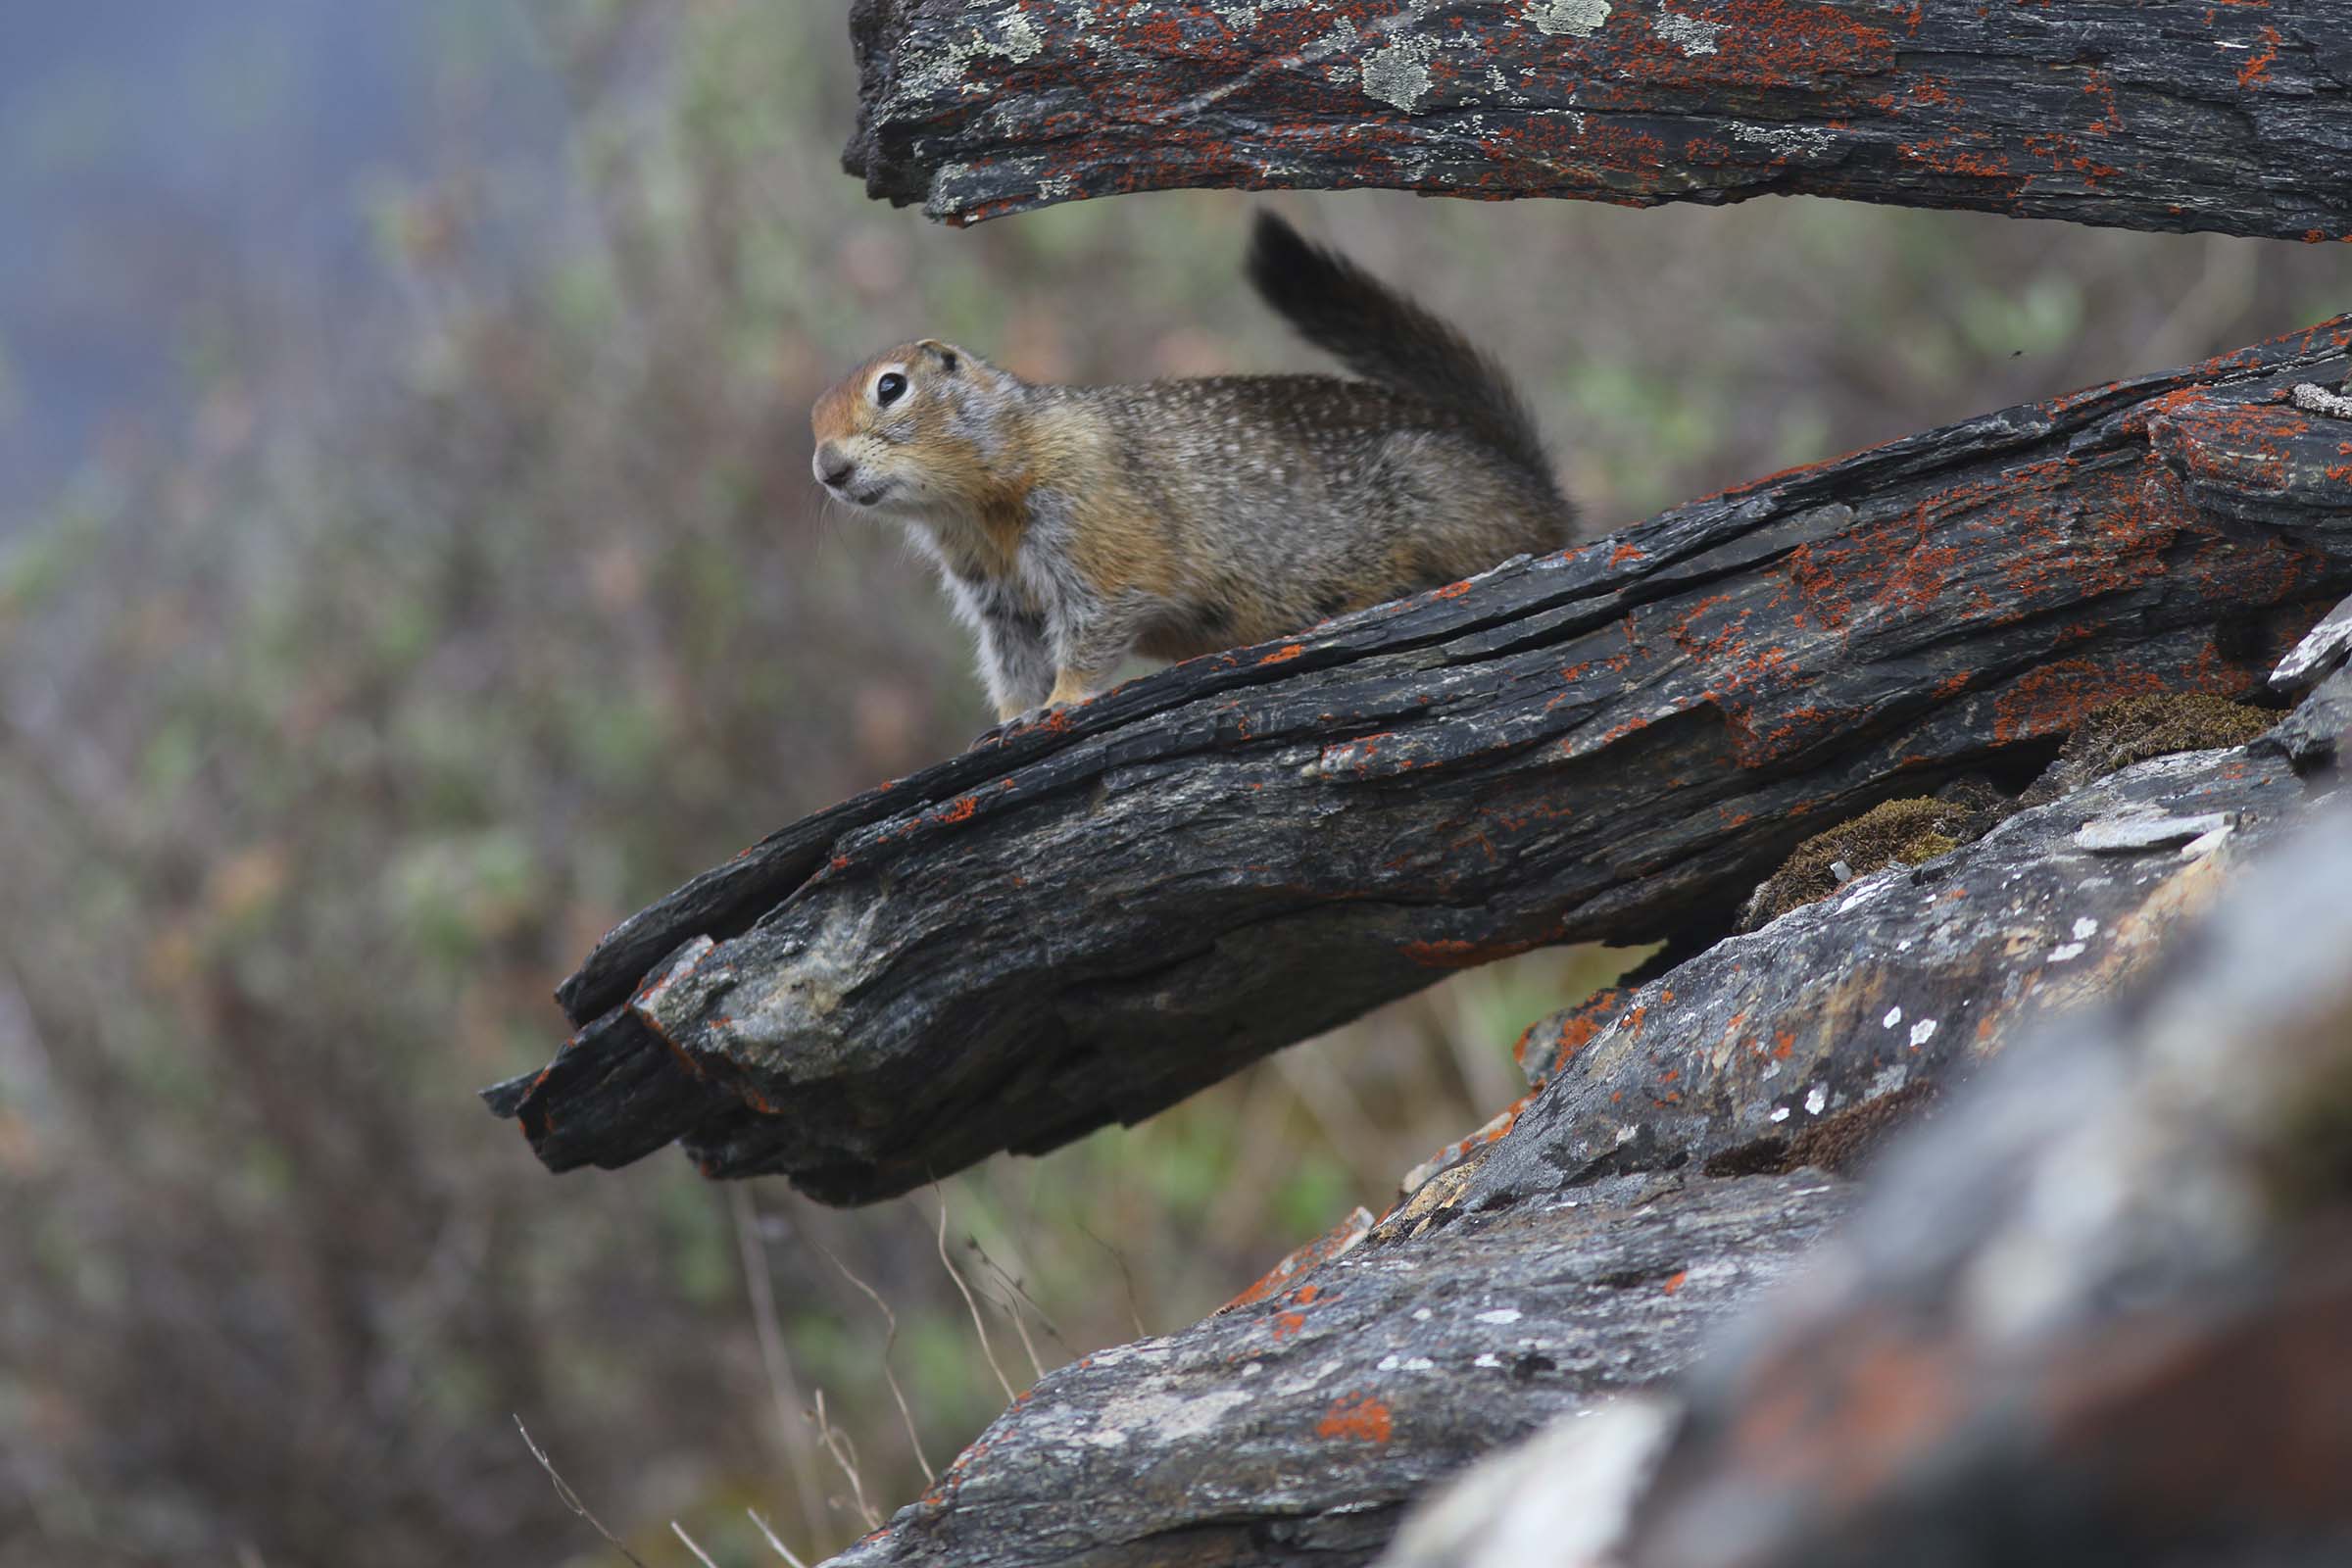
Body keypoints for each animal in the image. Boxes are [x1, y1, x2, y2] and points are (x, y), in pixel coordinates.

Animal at [810, 212, 1576, 726]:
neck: (975, 501)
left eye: (891, 387)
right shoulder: (995, 592)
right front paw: (1009, 722)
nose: (826, 469)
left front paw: (1063, 700)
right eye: (812, 416)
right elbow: (1014, 656)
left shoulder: (1091, 516)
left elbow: (1095, 618)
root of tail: (1533, 478)